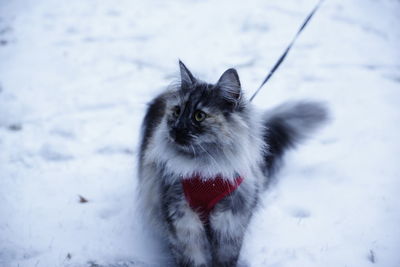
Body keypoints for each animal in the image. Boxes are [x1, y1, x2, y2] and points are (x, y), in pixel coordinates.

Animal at [138, 61, 328, 267]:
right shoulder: (182, 222)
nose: (176, 129)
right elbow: (194, 259)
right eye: (177, 111)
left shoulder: (230, 223)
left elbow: (226, 259)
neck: (205, 172)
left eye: (199, 116)